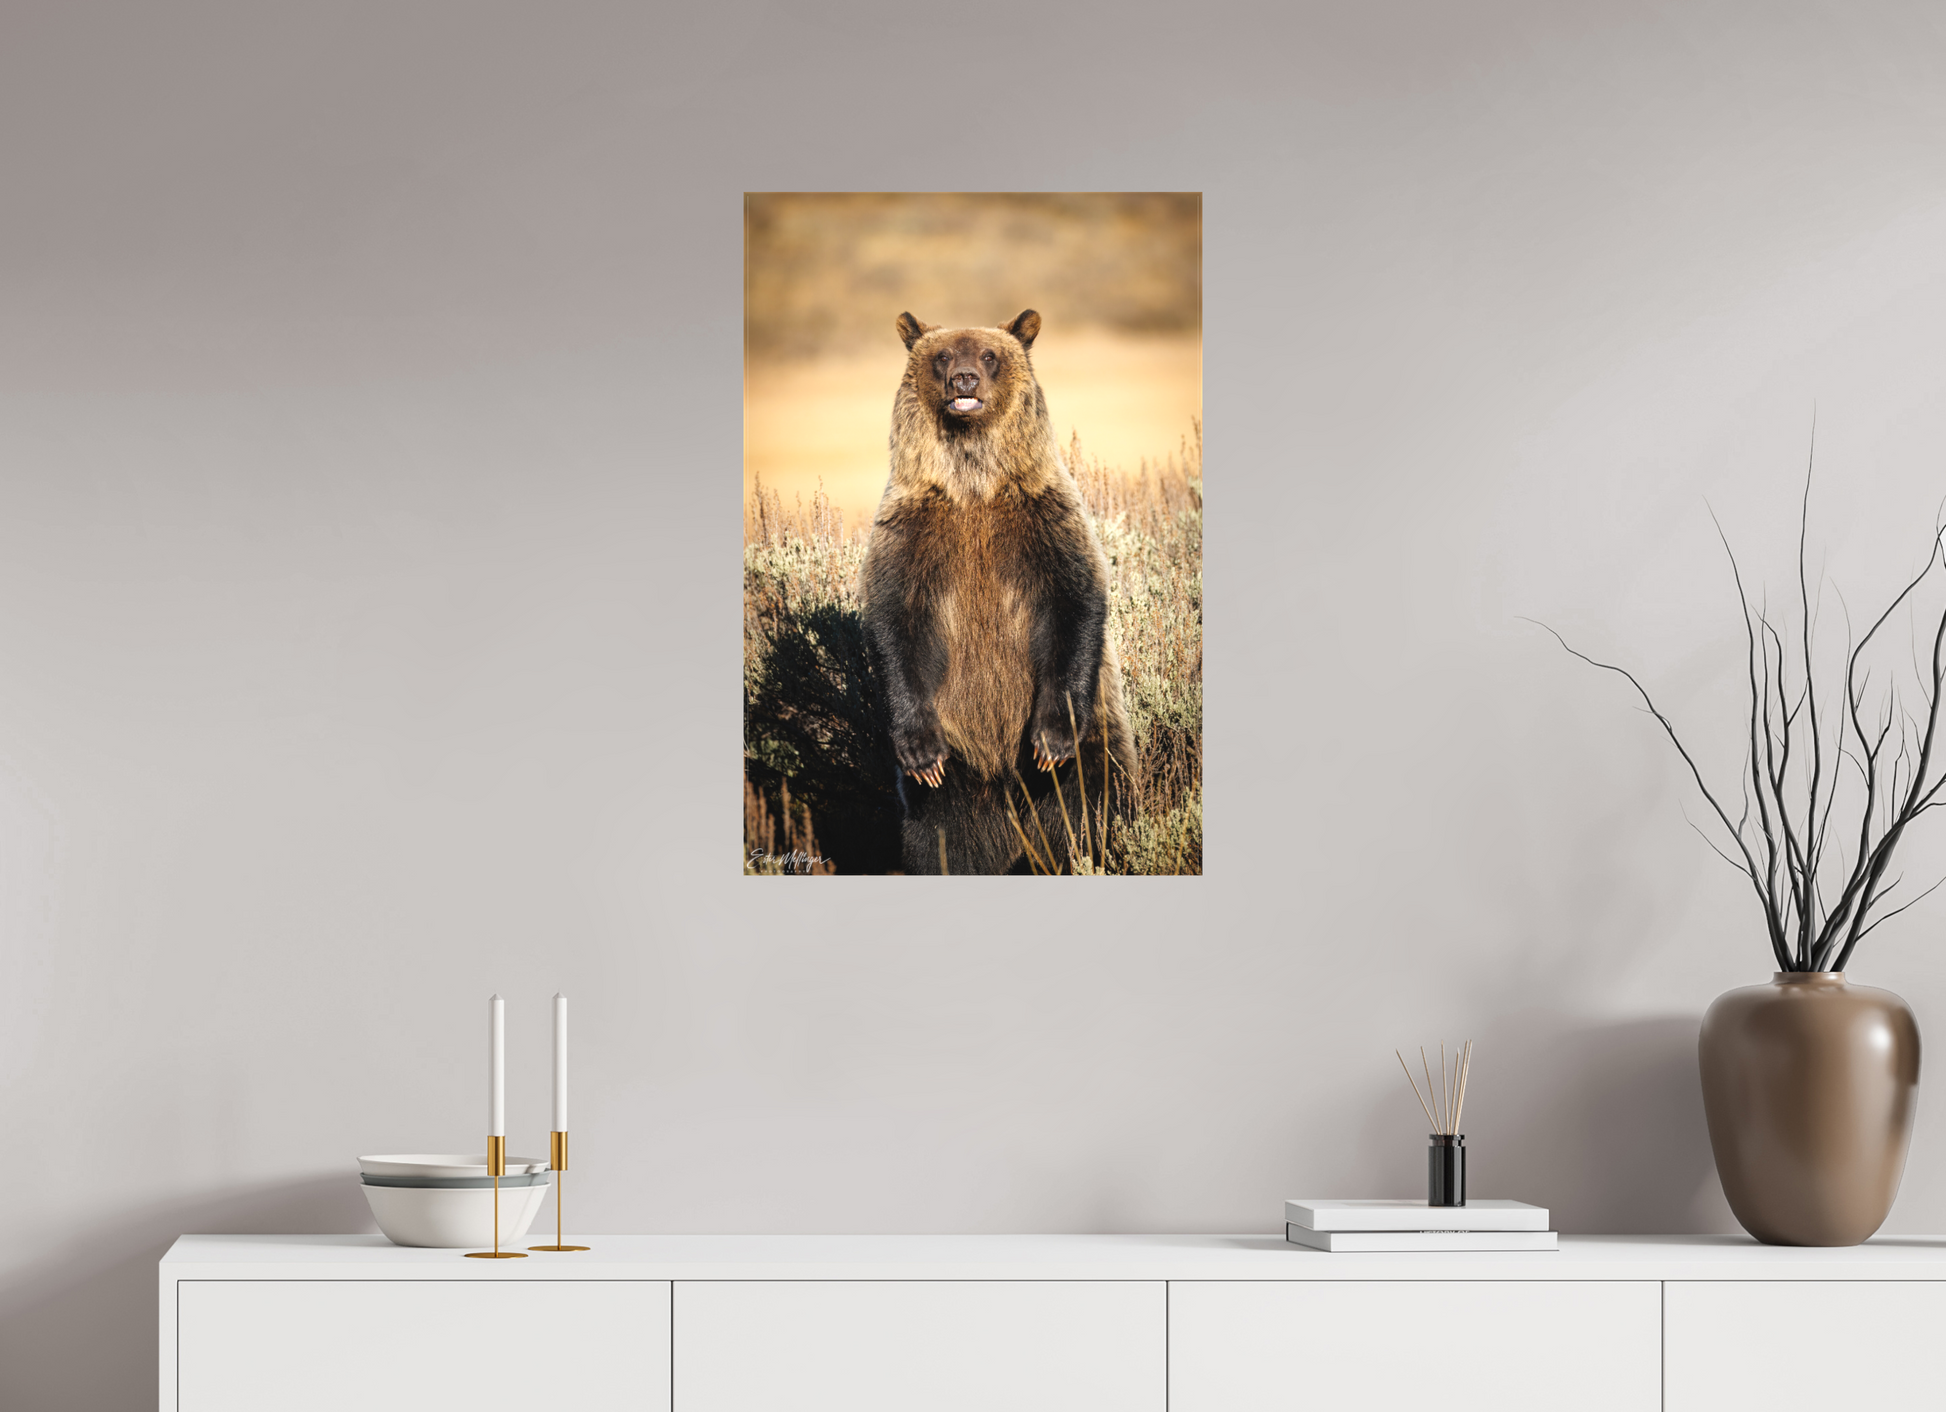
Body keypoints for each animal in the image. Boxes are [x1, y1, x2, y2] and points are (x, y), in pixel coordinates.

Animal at [859, 308, 1137, 874]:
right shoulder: (913, 529)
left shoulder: (1042, 516)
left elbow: (1075, 599)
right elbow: (895, 621)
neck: (974, 483)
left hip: (1095, 744)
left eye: (990, 355)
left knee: (1089, 805)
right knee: (940, 835)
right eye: (943, 355)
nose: (964, 380)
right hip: (957, 776)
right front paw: (920, 752)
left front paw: (1051, 739)